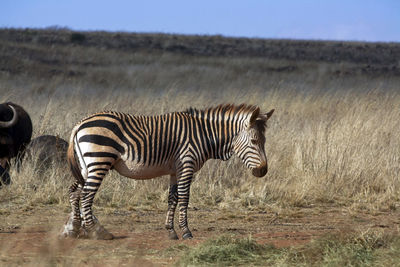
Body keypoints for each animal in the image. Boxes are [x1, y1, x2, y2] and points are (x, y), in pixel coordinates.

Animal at [62, 104, 274, 241]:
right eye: (254, 141)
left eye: (264, 141)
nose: (263, 171)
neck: (204, 136)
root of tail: (80, 123)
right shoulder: (187, 165)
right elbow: (185, 198)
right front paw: (186, 232)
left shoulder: (175, 170)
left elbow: (173, 198)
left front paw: (171, 231)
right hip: (99, 160)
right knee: (87, 195)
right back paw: (97, 232)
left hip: (86, 165)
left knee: (74, 192)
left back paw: (75, 229)